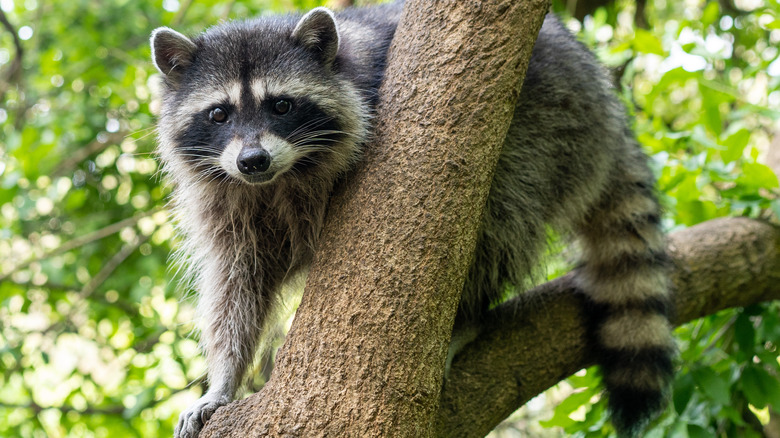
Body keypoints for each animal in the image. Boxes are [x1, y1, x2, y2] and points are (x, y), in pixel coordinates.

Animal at [152, 1, 676, 436]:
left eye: (280, 105)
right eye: (219, 114)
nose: (253, 160)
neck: (277, 178)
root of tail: (606, 105)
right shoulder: (226, 200)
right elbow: (237, 284)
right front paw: (223, 379)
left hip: (553, 124)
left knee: (499, 215)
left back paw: (467, 317)